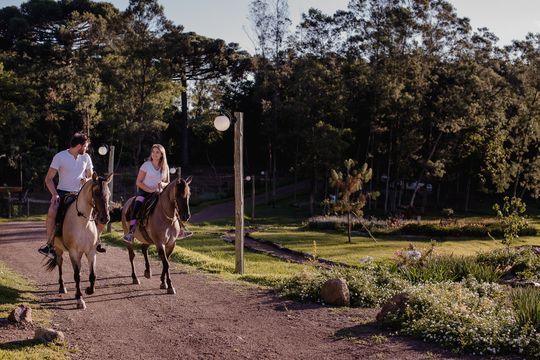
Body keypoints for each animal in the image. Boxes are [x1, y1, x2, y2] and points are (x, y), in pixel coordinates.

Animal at [46, 174, 113, 310]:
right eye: (96, 192)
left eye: (108, 193)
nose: (105, 218)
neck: (83, 222)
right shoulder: (74, 252)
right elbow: (77, 275)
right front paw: (79, 299)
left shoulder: (91, 252)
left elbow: (93, 274)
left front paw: (89, 290)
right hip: (59, 250)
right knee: (60, 264)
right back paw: (62, 287)